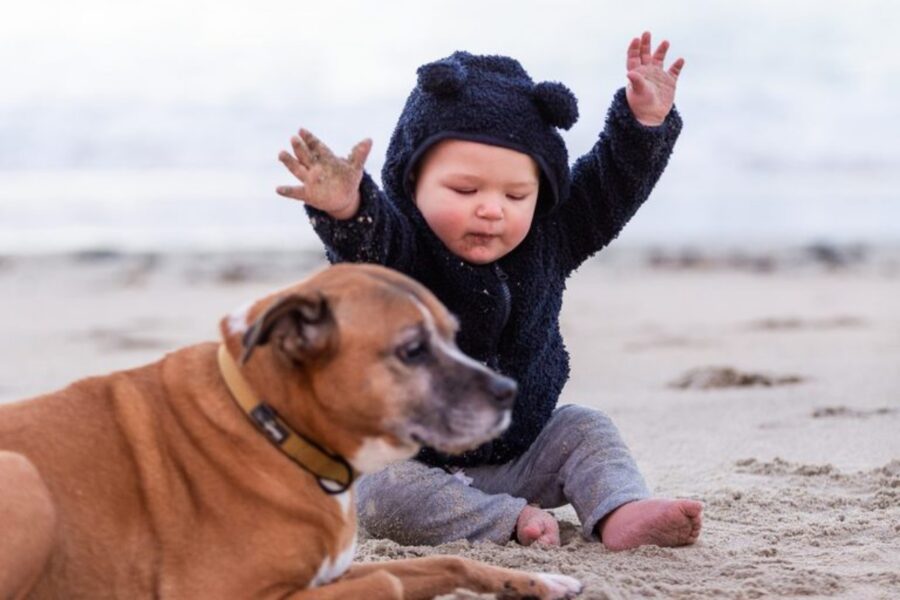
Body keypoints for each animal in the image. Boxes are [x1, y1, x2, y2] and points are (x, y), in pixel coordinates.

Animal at [0, 264, 580, 600]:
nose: (508, 391)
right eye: (413, 350)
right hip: (23, 476)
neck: (273, 429)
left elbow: (450, 558)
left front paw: (539, 581)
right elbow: (391, 579)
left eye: (453, 336)